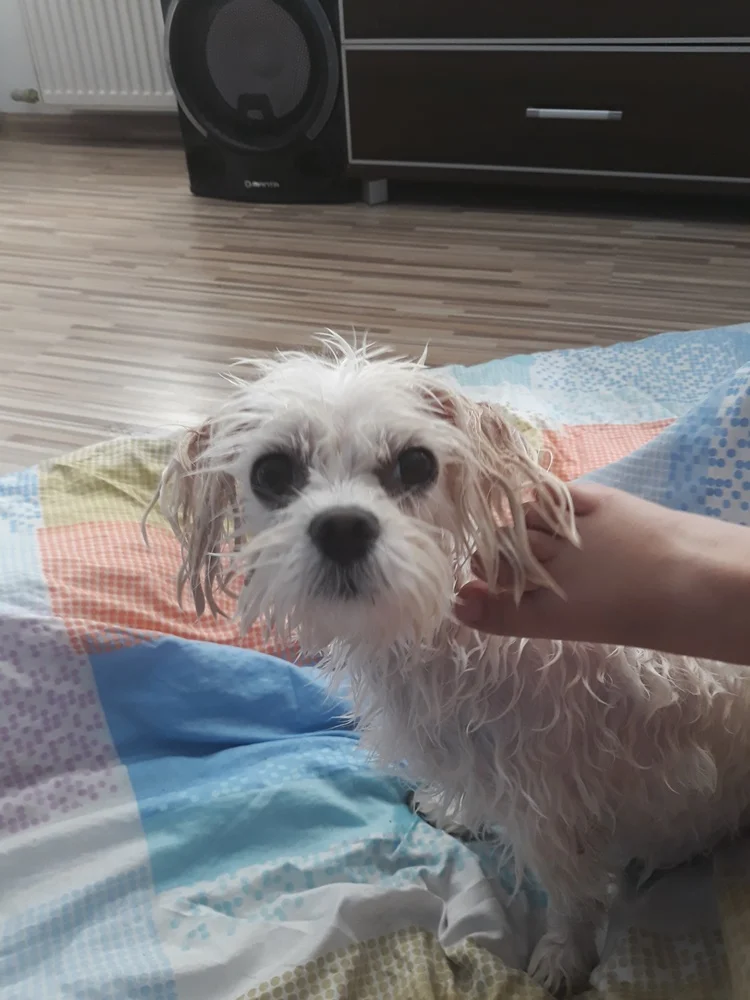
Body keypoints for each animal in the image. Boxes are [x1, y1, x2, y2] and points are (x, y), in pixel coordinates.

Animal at [147, 334, 750, 995]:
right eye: (272, 472)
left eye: (416, 465)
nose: (343, 526)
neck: (440, 636)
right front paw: (457, 810)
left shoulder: (551, 809)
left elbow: (571, 894)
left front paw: (564, 956)